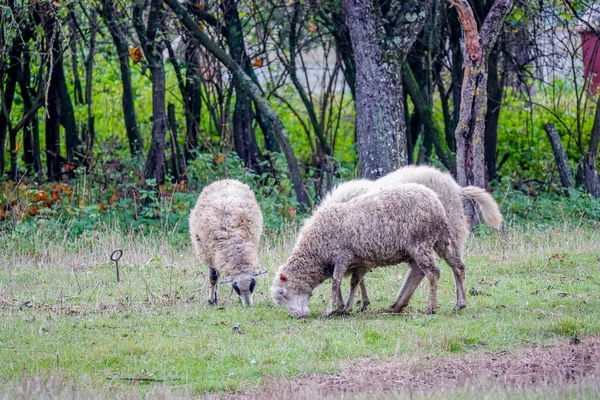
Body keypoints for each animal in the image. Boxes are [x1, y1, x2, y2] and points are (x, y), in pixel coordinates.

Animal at [190, 180, 268, 308]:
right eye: (235, 287)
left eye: (253, 284)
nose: (248, 305)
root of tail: (224, 180)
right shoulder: (209, 256)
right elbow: (213, 277)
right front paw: (211, 300)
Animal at [270, 184, 452, 318]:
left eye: (282, 292)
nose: (298, 316)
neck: (314, 250)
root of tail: (435, 200)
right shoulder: (350, 261)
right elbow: (350, 283)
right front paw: (343, 307)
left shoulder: (342, 256)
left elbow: (336, 284)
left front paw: (330, 310)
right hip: (430, 243)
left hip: (421, 242)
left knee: (433, 273)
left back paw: (431, 308)